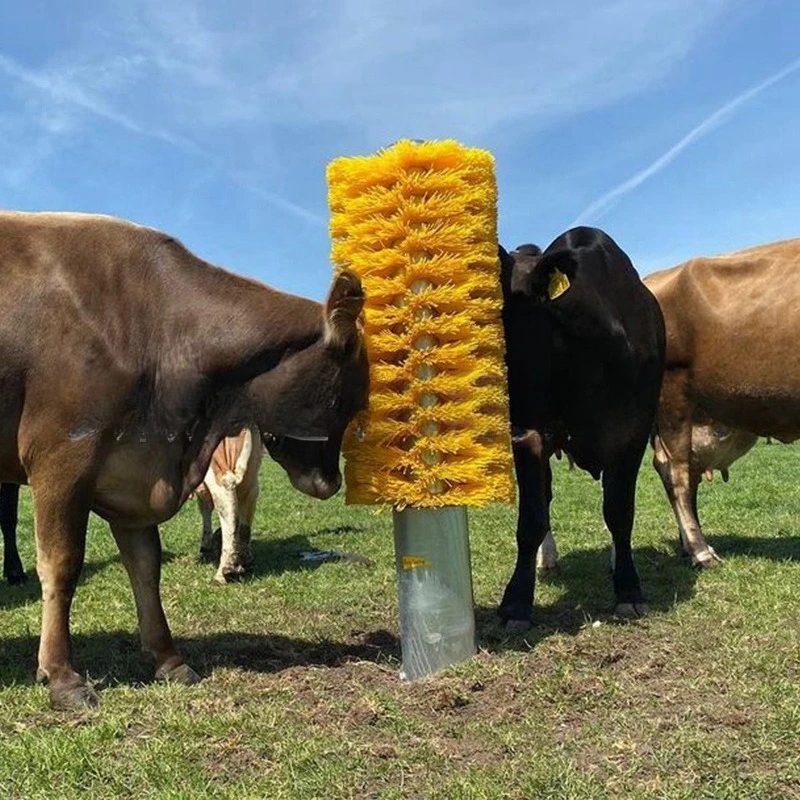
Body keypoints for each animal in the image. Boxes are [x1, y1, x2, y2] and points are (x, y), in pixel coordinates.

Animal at [497, 226, 666, 628]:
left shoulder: (633, 434)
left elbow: (620, 512)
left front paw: (629, 589)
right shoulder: (529, 433)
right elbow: (531, 520)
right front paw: (517, 603)